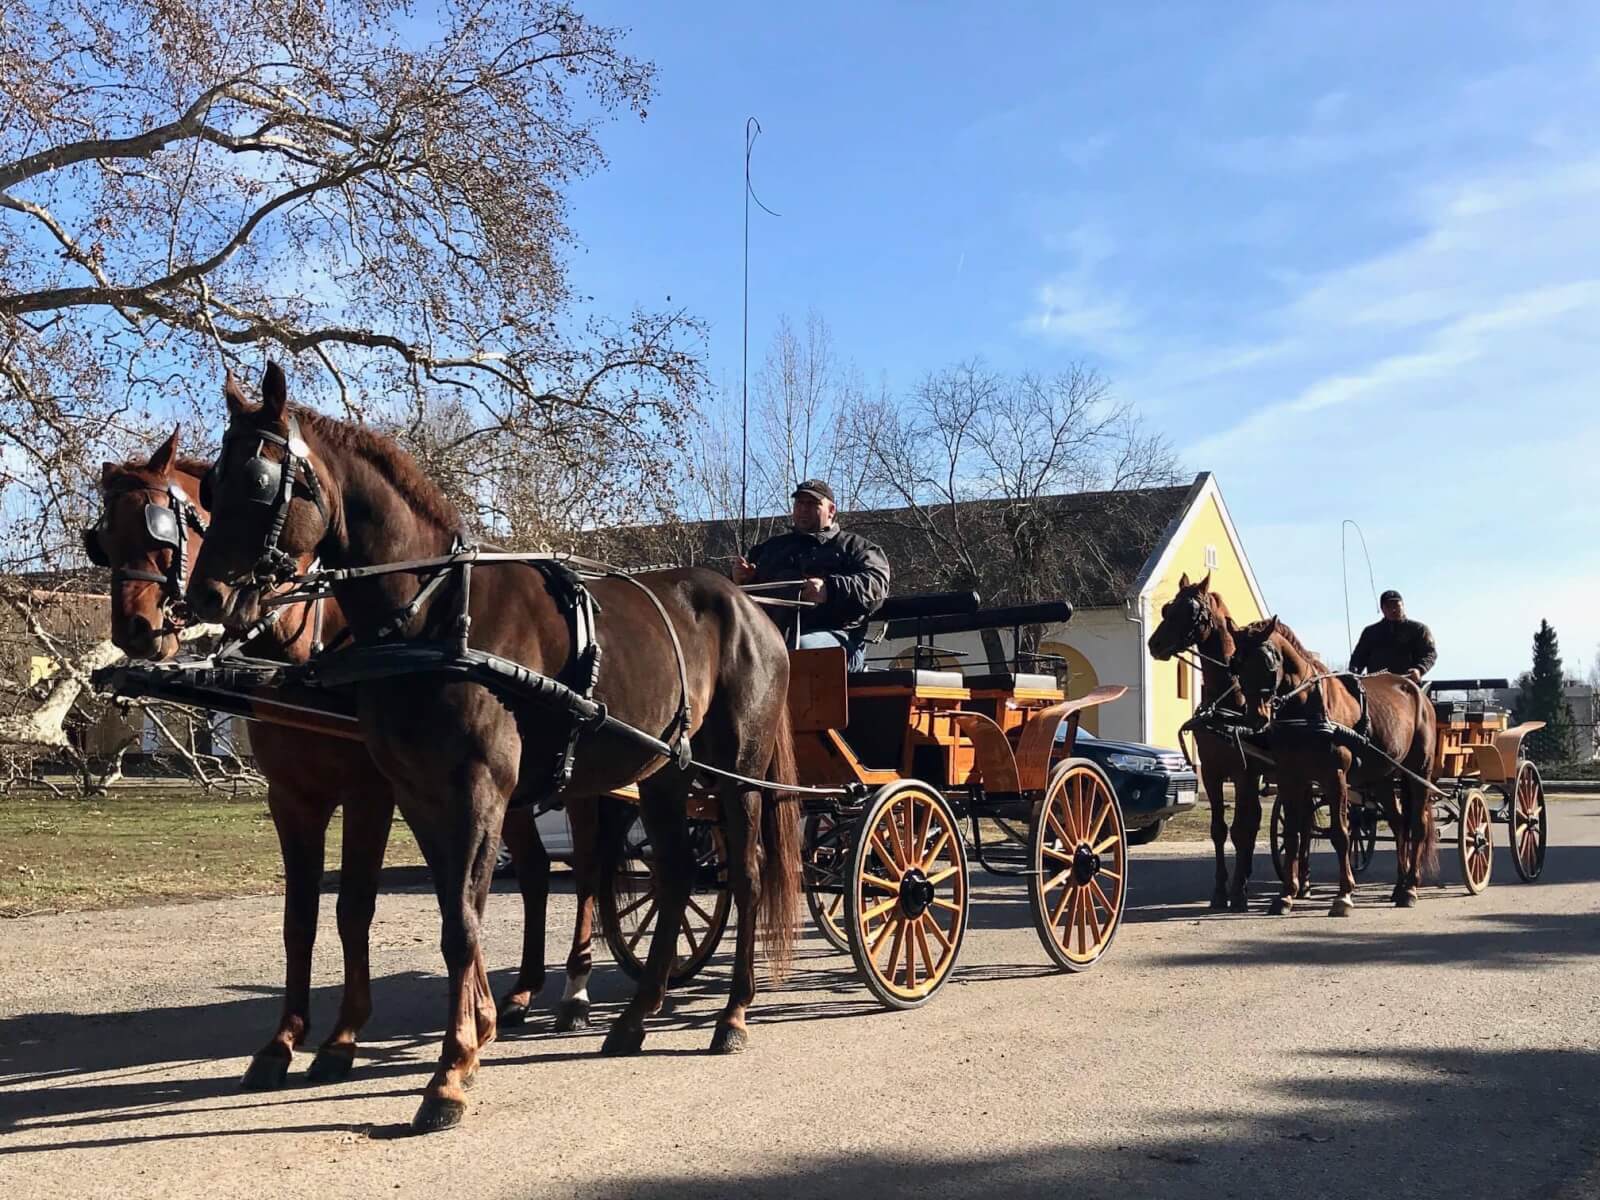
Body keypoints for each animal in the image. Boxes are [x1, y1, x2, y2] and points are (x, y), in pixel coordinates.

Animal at [85, 425, 615, 1094]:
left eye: (160, 529)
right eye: (104, 539)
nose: (133, 629)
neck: (310, 656)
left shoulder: (372, 793)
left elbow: (354, 908)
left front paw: (342, 1040)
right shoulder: (293, 797)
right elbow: (301, 918)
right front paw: (283, 1042)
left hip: (586, 787)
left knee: (591, 872)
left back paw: (575, 992)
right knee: (539, 874)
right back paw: (519, 994)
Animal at [186, 362, 802, 1133]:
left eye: (260, 479)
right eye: (210, 486)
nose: (204, 597)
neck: (435, 616)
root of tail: (754, 609)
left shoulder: (474, 789)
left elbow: (462, 926)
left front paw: (451, 1072)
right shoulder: (416, 795)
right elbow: (451, 914)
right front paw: (473, 1034)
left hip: (736, 774)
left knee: (743, 878)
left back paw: (733, 1015)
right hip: (664, 774)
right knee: (676, 878)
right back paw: (634, 1016)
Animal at [1145, 572, 1320, 911]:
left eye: (1191, 611)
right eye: (1168, 608)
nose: (1154, 644)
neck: (1227, 703)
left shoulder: (1244, 773)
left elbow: (1243, 829)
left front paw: (1238, 891)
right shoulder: (1213, 772)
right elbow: (1220, 830)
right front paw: (1220, 891)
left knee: (1303, 823)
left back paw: (1302, 881)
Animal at [1230, 617, 1438, 915]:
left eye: (1269, 663)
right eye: (1236, 664)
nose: (1256, 717)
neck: (1305, 706)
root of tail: (1417, 690)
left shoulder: (1334, 776)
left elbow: (1341, 834)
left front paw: (1344, 895)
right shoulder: (1290, 777)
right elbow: (1292, 834)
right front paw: (1286, 895)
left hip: (1419, 771)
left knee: (1417, 825)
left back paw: (1411, 887)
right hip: (1382, 778)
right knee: (1399, 823)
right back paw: (1399, 886)